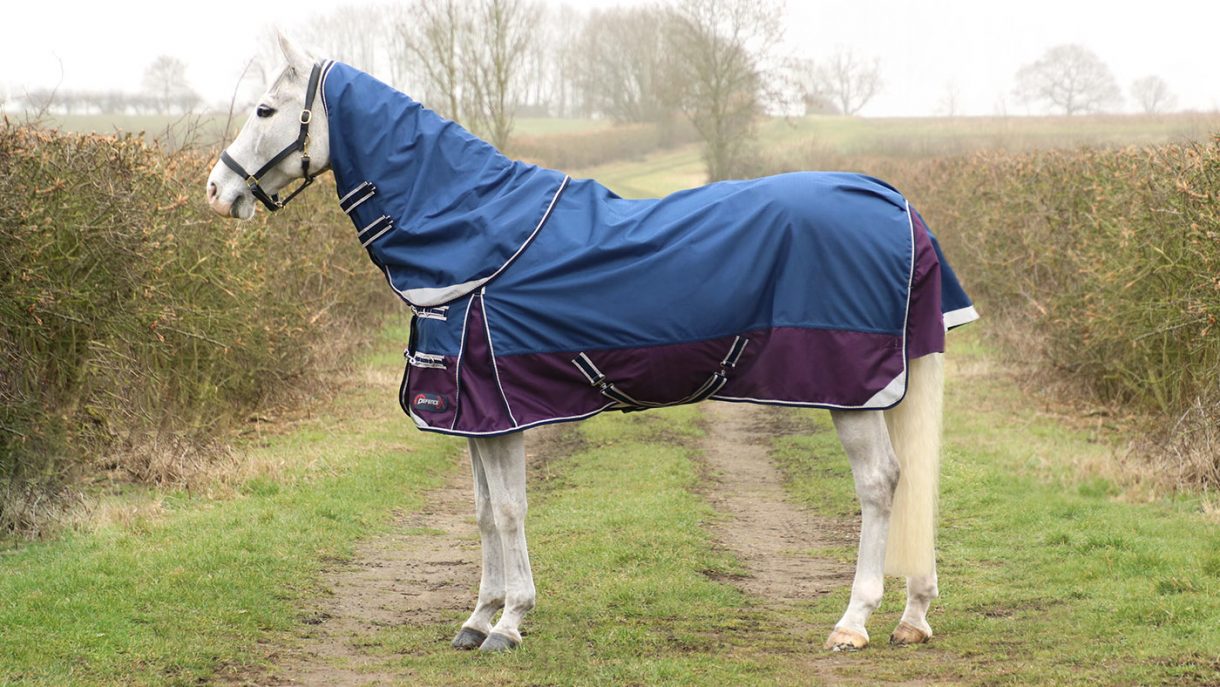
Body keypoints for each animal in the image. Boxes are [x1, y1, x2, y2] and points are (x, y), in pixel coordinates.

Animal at [206, 34, 978, 654]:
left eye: (266, 112)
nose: (216, 190)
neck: (476, 232)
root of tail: (896, 203)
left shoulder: (498, 410)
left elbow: (510, 510)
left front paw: (509, 622)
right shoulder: (470, 415)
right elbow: (482, 513)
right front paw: (476, 618)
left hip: (852, 391)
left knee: (881, 484)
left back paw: (854, 621)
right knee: (913, 481)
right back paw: (913, 617)